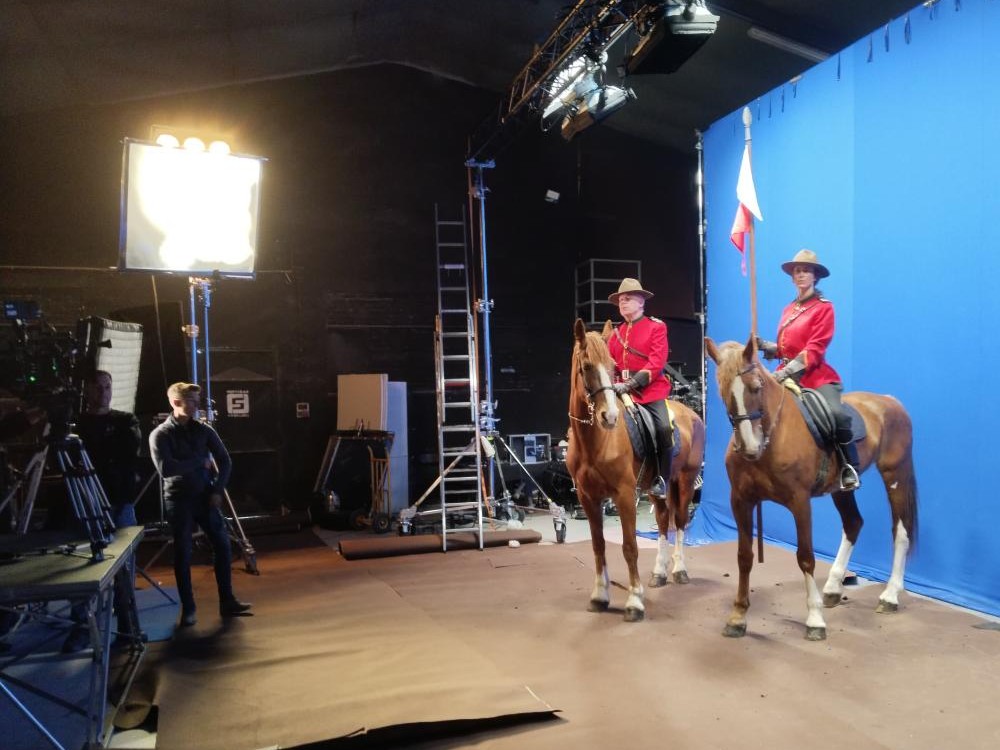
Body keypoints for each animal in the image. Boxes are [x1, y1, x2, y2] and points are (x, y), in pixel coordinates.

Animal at [565, 318, 706, 621]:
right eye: (586, 367)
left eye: (611, 367)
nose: (609, 417)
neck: (595, 440)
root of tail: (692, 414)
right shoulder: (588, 498)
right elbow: (598, 545)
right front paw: (600, 596)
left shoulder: (624, 495)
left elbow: (630, 546)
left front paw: (634, 601)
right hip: (656, 487)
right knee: (663, 521)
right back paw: (659, 573)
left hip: (686, 481)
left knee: (679, 522)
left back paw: (679, 570)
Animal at [705, 336, 918, 640]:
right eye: (723, 391)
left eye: (756, 386)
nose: (749, 448)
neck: (773, 436)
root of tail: (889, 400)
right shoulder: (741, 501)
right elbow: (744, 556)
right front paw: (738, 617)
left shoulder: (799, 502)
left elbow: (805, 557)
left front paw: (814, 620)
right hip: (841, 489)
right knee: (853, 523)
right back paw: (833, 587)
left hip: (894, 475)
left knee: (901, 531)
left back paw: (890, 595)